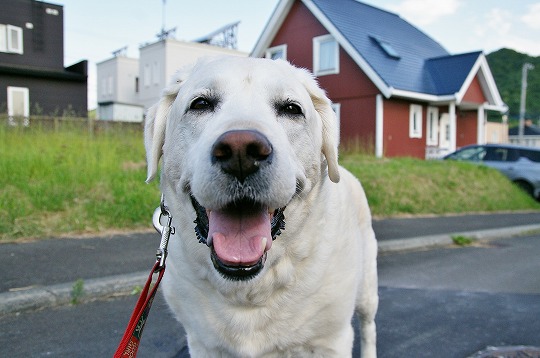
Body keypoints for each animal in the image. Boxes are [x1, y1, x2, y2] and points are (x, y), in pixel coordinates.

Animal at [146, 57, 378, 356]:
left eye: (291, 109)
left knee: (369, 326)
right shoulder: (202, 342)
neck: (250, 287)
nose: (241, 152)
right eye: (200, 104)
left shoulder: (331, 340)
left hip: (367, 289)